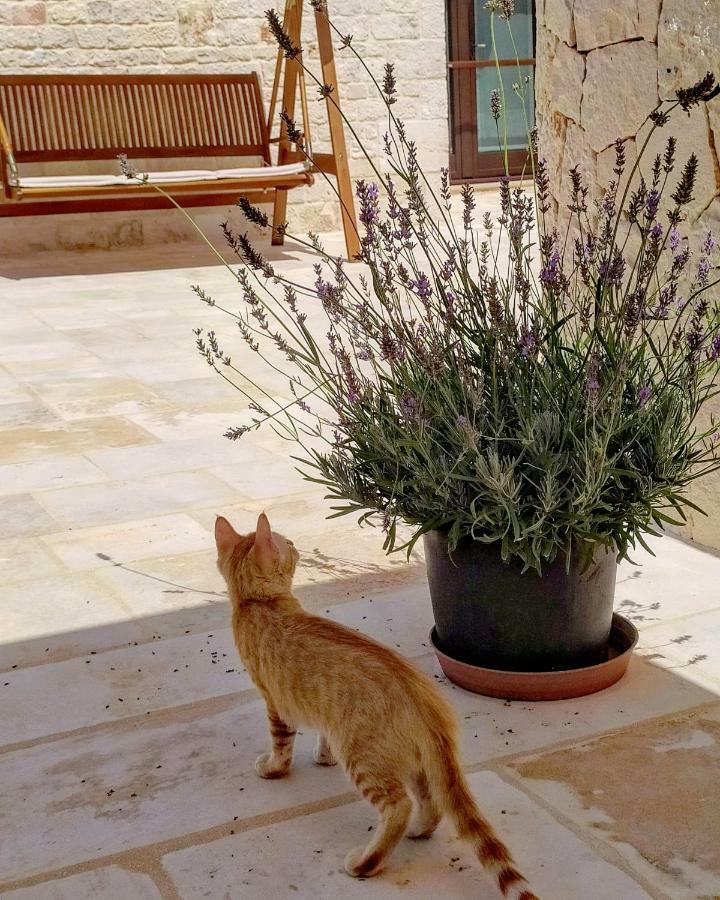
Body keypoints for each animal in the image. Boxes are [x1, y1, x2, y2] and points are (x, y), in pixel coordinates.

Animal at [217, 512, 536, 900]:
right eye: (289, 545)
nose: (295, 545)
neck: (258, 604)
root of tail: (424, 702)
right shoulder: (317, 712)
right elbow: (321, 734)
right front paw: (322, 757)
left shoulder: (274, 701)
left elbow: (281, 744)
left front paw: (274, 768)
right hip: (413, 762)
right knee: (430, 800)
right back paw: (419, 831)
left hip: (365, 759)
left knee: (399, 806)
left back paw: (365, 863)